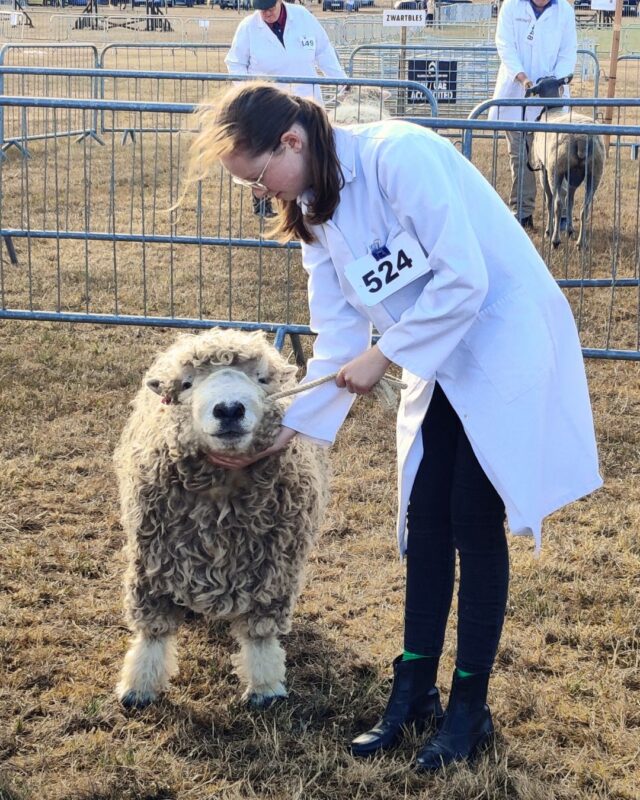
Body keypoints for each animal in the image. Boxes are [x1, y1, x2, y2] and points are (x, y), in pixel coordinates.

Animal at [114, 328, 329, 710]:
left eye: (261, 379)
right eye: (186, 384)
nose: (229, 410)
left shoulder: (273, 570)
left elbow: (260, 635)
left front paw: (265, 687)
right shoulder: (152, 563)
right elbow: (153, 632)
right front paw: (139, 686)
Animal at [526, 75, 605, 249]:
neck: (552, 109)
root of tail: (582, 139)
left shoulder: (543, 169)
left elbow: (550, 199)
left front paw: (549, 230)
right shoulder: (573, 178)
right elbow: (571, 199)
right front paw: (569, 229)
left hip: (556, 169)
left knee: (557, 203)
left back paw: (555, 240)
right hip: (594, 173)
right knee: (584, 208)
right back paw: (581, 243)